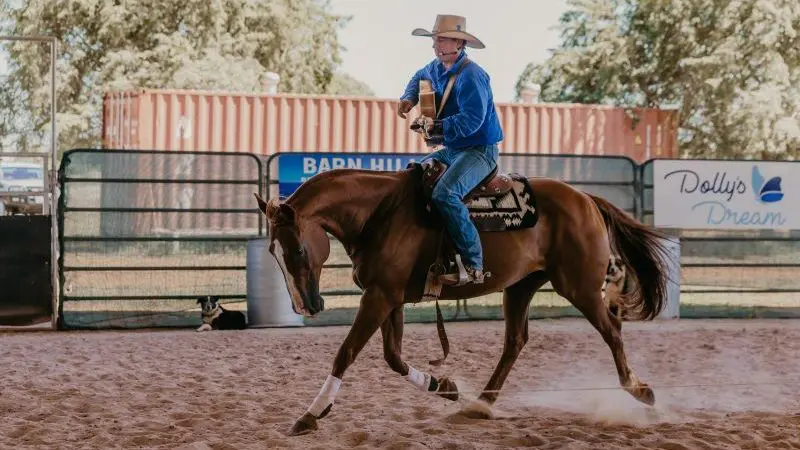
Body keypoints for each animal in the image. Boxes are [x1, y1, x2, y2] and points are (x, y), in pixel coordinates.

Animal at [253, 160, 671, 436]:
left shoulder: (379, 296)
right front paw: (444, 387)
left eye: (298, 251)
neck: (381, 213)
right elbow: (393, 357)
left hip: (578, 285)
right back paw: (480, 404)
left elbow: (347, 352)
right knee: (515, 341)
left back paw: (642, 391)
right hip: (521, 286)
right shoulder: (389, 296)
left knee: (611, 330)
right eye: (273, 252)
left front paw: (311, 413)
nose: (306, 307)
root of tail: (585, 198)